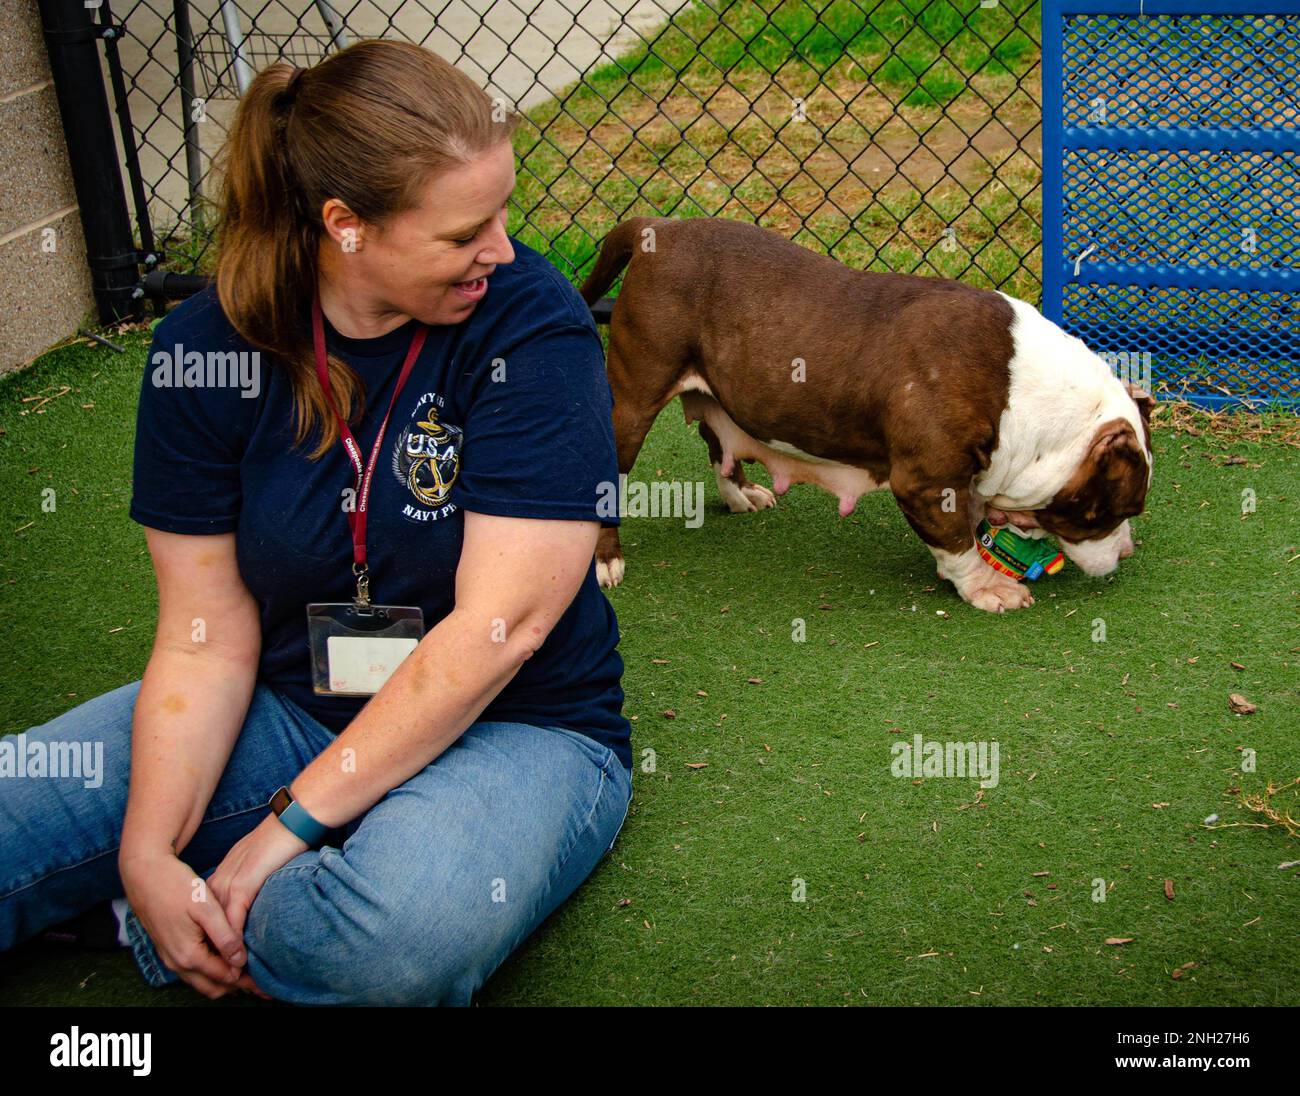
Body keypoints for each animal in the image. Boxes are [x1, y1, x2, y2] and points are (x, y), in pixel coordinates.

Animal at [579, 214, 1149, 608]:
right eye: (1115, 512)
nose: (1127, 553)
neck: (1026, 394)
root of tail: (659, 226)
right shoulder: (924, 481)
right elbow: (956, 539)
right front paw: (986, 588)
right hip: (632, 401)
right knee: (607, 478)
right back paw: (607, 561)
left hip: (716, 388)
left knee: (718, 437)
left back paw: (740, 493)